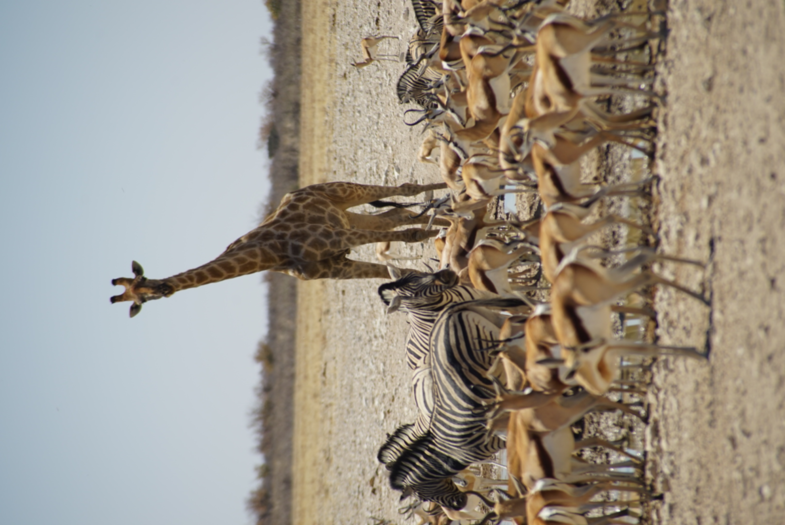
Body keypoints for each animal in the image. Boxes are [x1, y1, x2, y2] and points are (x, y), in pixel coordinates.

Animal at [108, 180, 448, 316]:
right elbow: (401, 271)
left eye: (149, 289)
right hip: (346, 216)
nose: (167, 288)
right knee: (397, 216)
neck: (273, 255)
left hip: (342, 195)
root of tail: (302, 190)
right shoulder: (339, 267)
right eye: (137, 301)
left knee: (406, 191)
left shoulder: (337, 238)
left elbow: (414, 235)